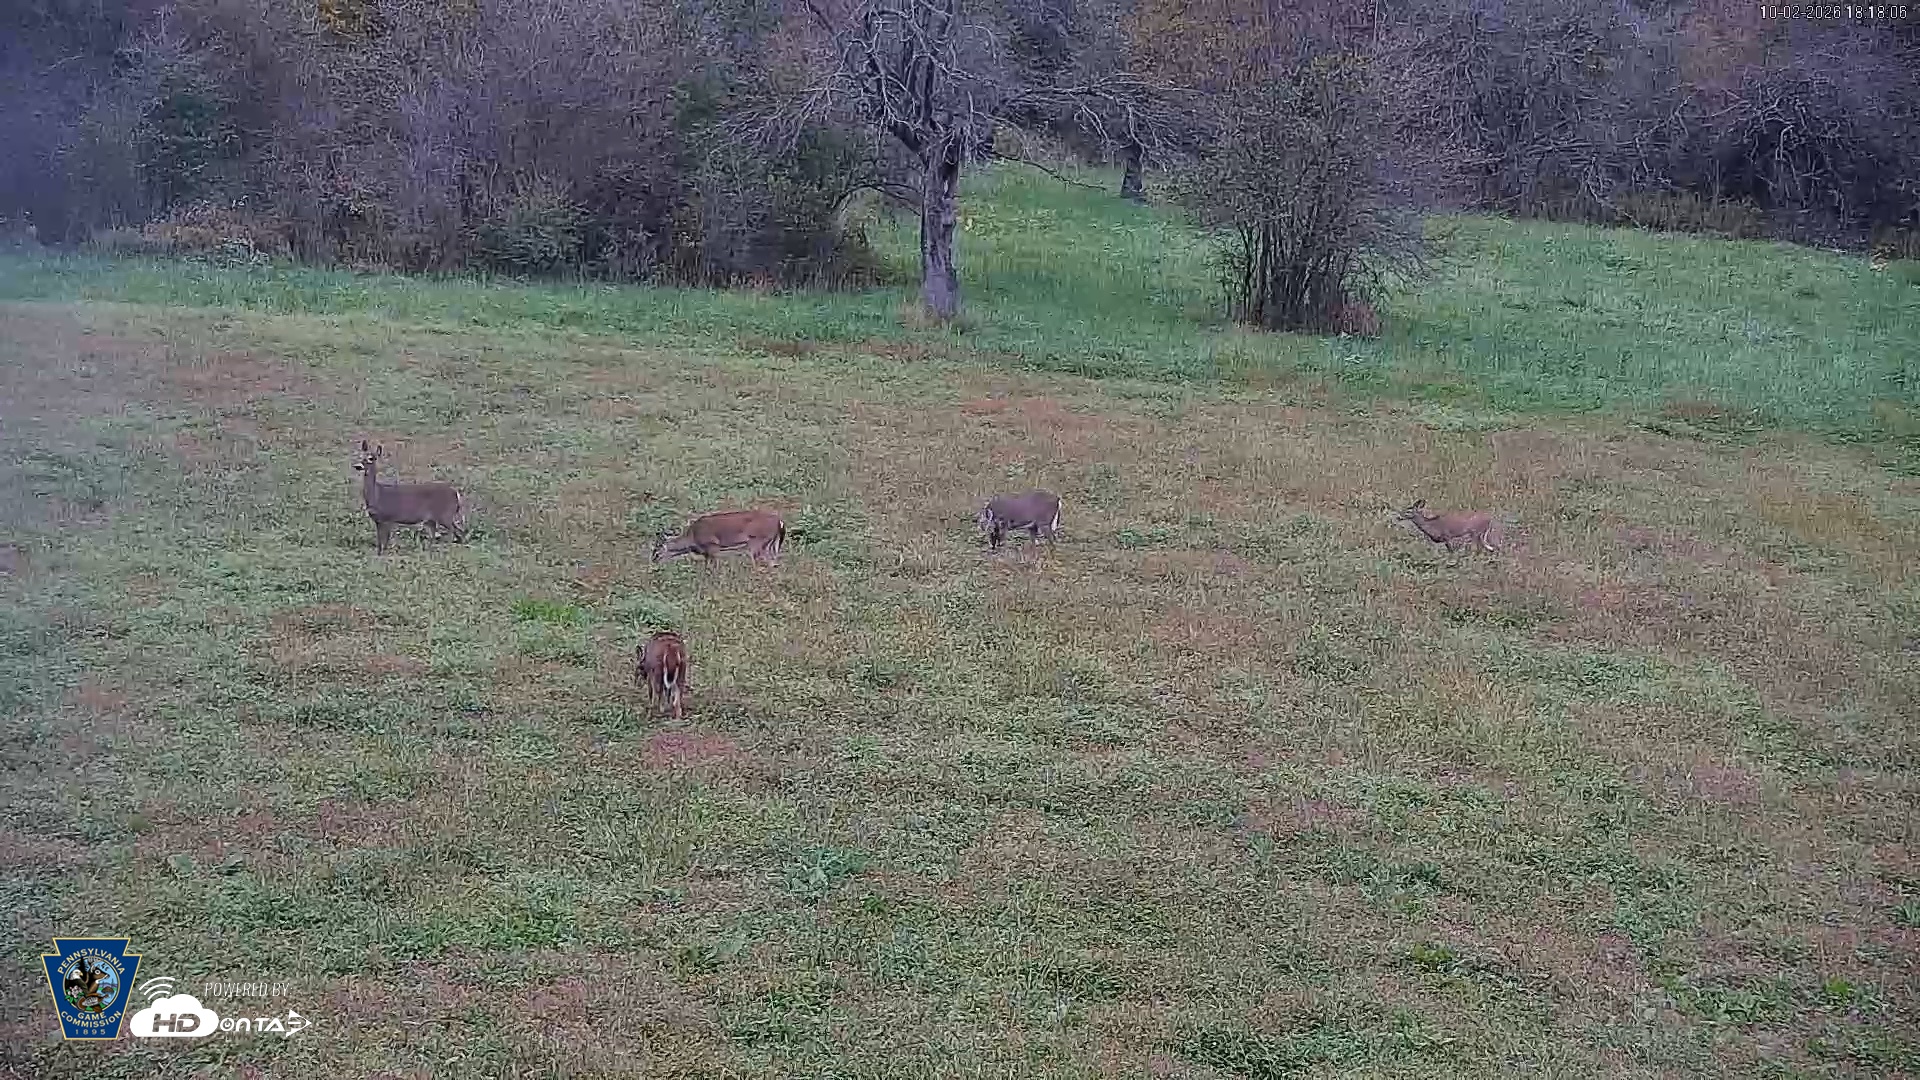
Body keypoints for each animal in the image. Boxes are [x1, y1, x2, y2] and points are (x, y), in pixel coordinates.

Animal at [653, 509, 786, 567]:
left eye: (657, 552)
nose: (653, 561)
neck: (692, 538)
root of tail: (780, 522)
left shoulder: (712, 545)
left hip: (758, 540)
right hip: (771, 543)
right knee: (773, 562)